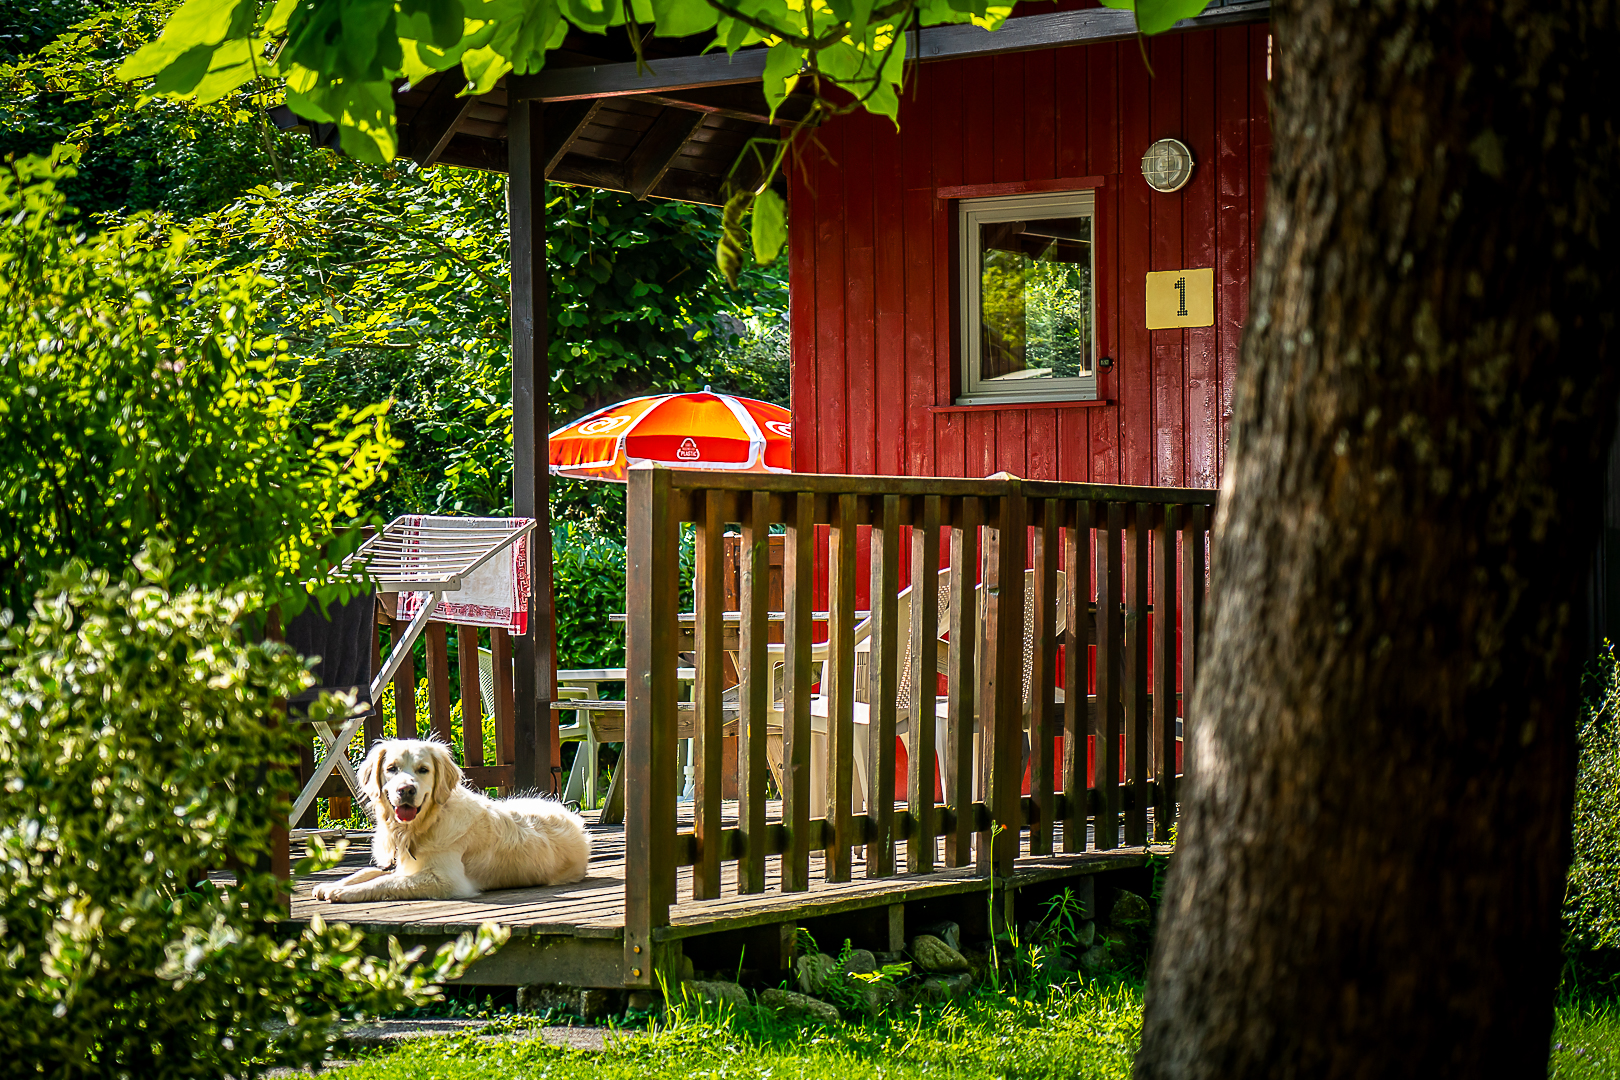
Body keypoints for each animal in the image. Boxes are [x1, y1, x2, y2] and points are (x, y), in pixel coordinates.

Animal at [309, 735, 589, 906]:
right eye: (391, 768)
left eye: (423, 770)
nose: (406, 790)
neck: (422, 826)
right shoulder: (402, 863)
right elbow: (369, 871)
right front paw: (333, 884)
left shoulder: (447, 879)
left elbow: (386, 880)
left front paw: (343, 891)